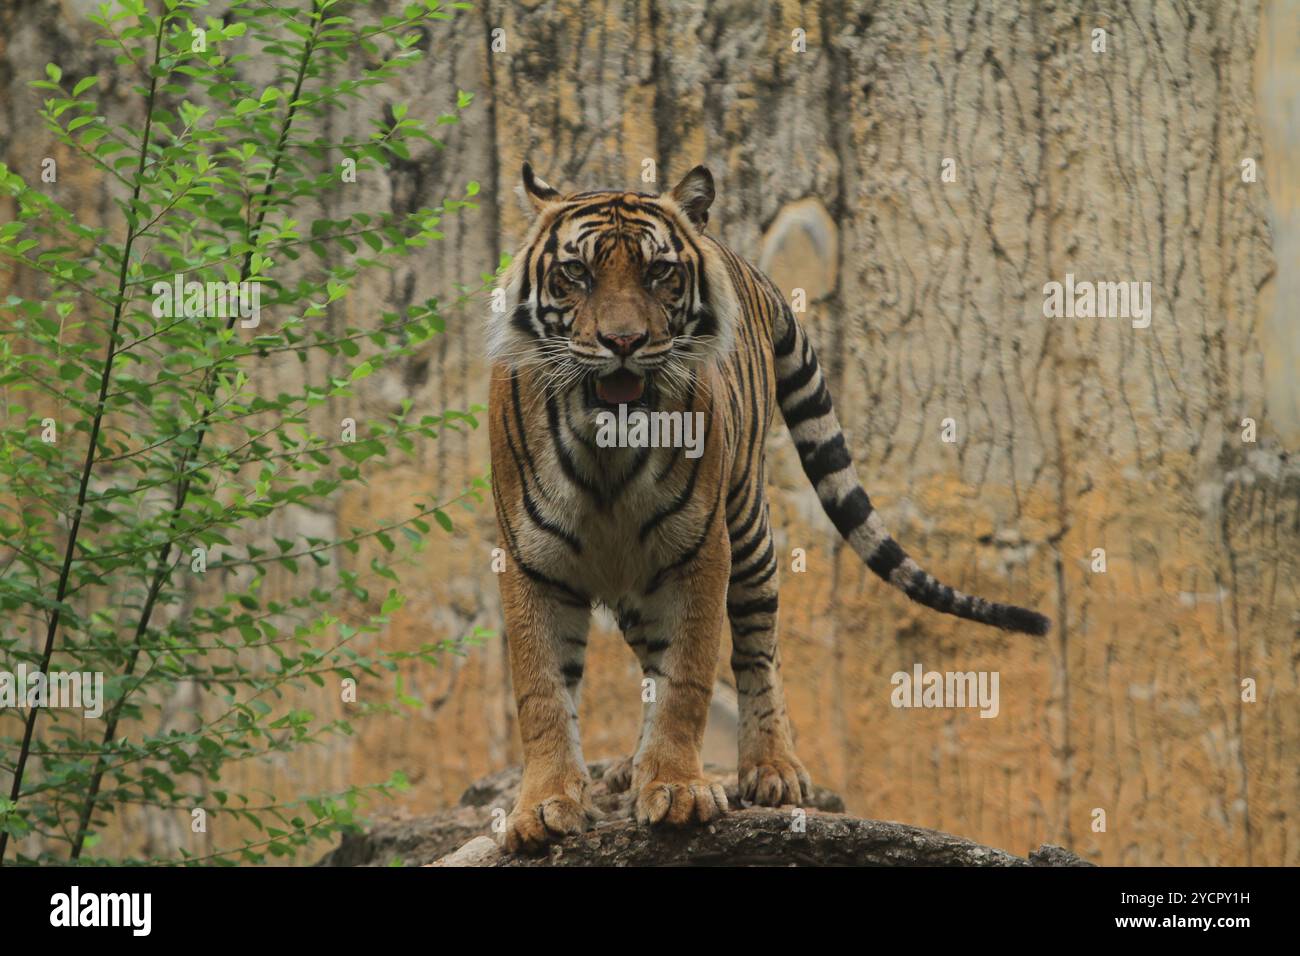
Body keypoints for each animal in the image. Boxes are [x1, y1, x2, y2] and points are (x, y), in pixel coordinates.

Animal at [486, 160, 1045, 858]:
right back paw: (631, 768)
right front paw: (545, 807)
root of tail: (743, 259)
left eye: (658, 273)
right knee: (651, 659)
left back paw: (772, 769)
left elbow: (688, 680)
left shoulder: (699, 550)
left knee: (757, 652)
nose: (623, 341)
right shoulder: (530, 561)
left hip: (747, 531)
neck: (607, 445)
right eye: (575, 274)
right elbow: (542, 690)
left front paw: (678, 789)